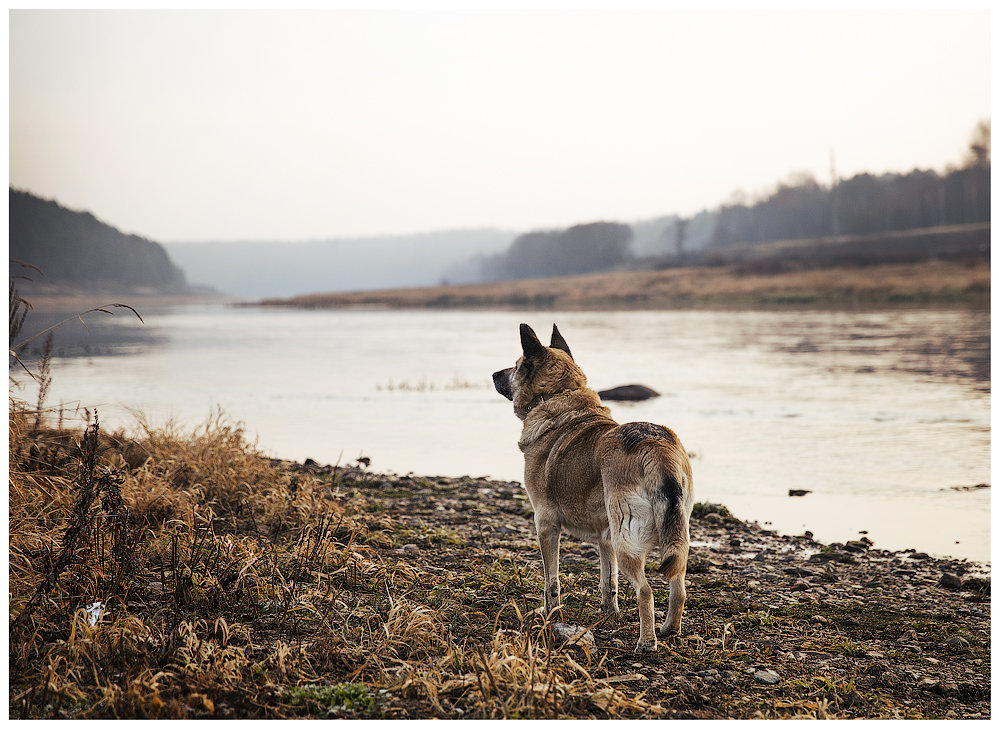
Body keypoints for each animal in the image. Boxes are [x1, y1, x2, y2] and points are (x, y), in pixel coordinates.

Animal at [492, 322, 696, 652]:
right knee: (678, 587)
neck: (557, 396)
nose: (493, 374)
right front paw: (609, 613)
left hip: (628, 542)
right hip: (672, 535)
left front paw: (549, 613)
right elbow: (608, 581)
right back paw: (669, 630)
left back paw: (646, 642)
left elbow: (551, 581)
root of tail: (654, 446)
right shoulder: (606, 537)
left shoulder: (545, 524)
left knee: (646, 591)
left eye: (516, 364)